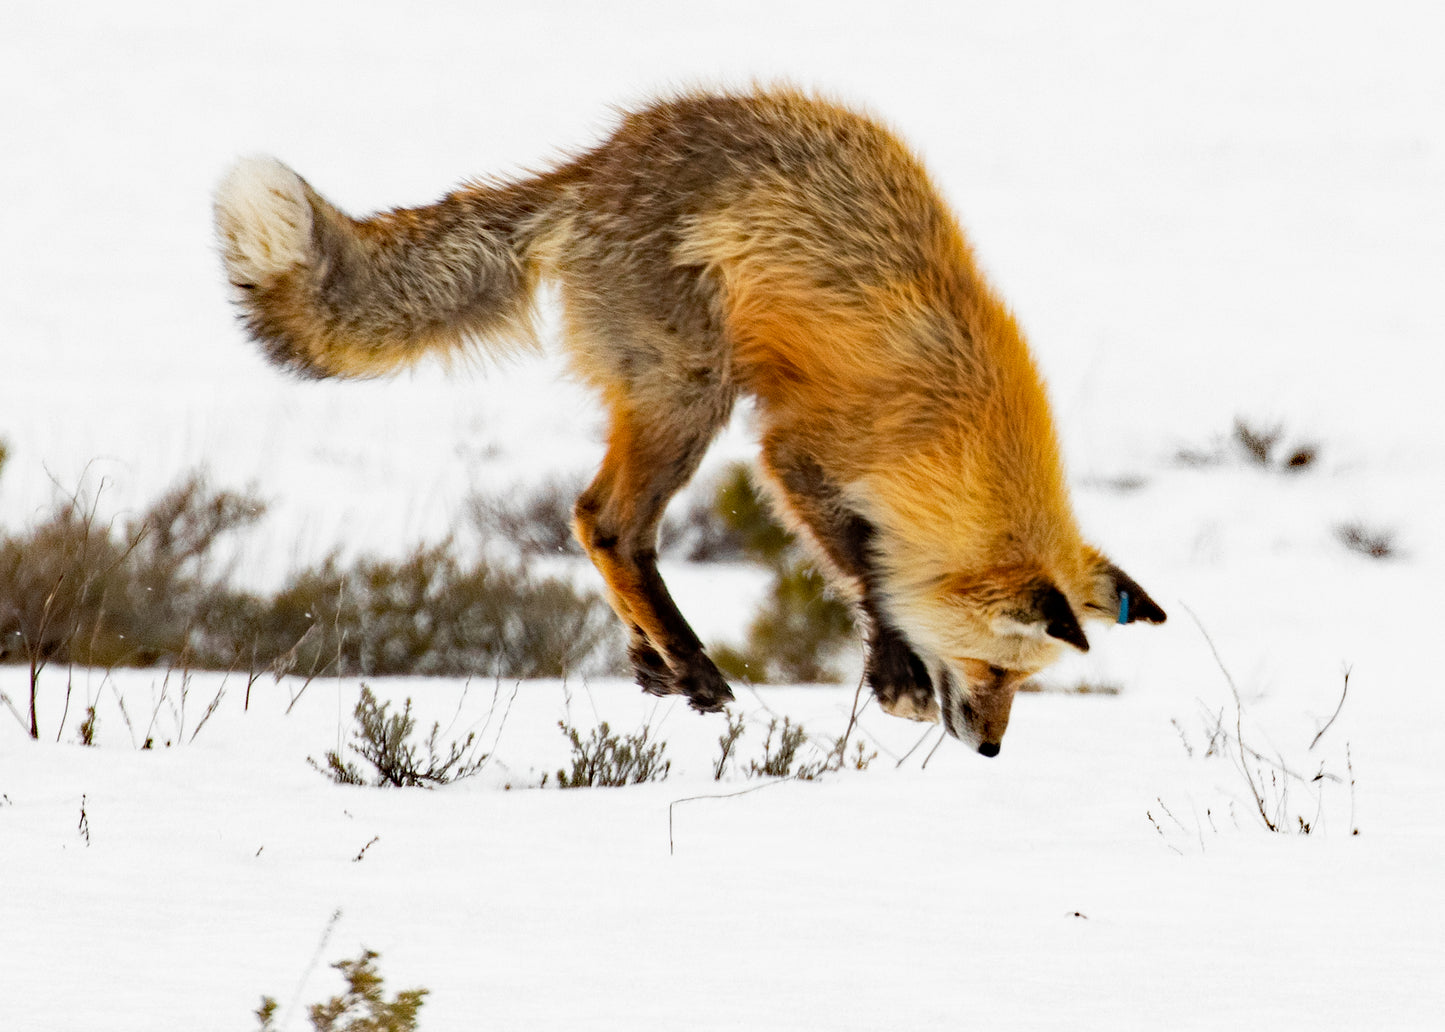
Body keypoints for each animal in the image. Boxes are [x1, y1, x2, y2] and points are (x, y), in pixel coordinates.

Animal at [213, 87, 1165, 756]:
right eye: (997, 670)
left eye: (1025, 683)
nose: (993, 748)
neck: (957, 426)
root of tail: (599, 161)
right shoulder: (799, 453)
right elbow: (866, 567)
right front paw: (892, 669)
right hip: (690, 392)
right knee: (606, 522)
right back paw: (690, 665)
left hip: (675, 397)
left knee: (597, 523)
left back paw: (657, 660)